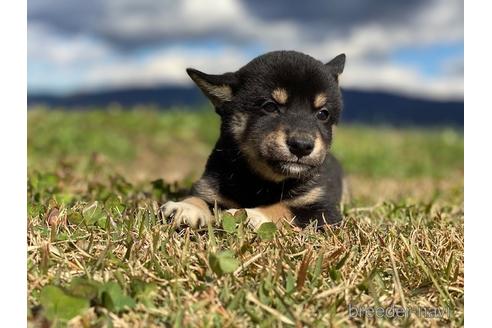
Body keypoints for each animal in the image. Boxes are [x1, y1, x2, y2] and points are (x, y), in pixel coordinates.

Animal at [161, 51, 346, 231]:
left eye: (323, 114)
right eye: (269, 106)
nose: (302, 146)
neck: (260, 181)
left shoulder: (323, 209)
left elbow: (283, 208)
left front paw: (251, 214)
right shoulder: (209, 188)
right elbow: (199, 198)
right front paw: (186, 206)